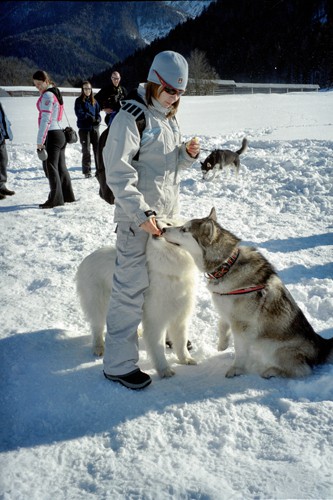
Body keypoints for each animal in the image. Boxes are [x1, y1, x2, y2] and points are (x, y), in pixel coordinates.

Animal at [75, 221, 197, 376]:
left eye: (169, 223)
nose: (159, 225)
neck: (170, 273)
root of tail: (87, 258)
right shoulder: (155, 319)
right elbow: (158, 347)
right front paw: (165, 370)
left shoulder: (180, 316)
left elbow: (181, 342)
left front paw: (186, 360)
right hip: (99, 303)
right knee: (97, 326)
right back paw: (99, 348)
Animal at [162, 208, 332, 378]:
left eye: (184, 230)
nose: (163, 229)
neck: (226, 266)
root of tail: (320, 345)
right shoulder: (226, 311)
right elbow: (222, 324)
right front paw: (222, 345)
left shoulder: (242, 324)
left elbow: (240, 351)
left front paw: (236, 368)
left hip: (276, 349)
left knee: (301, 370)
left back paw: (272, 371)